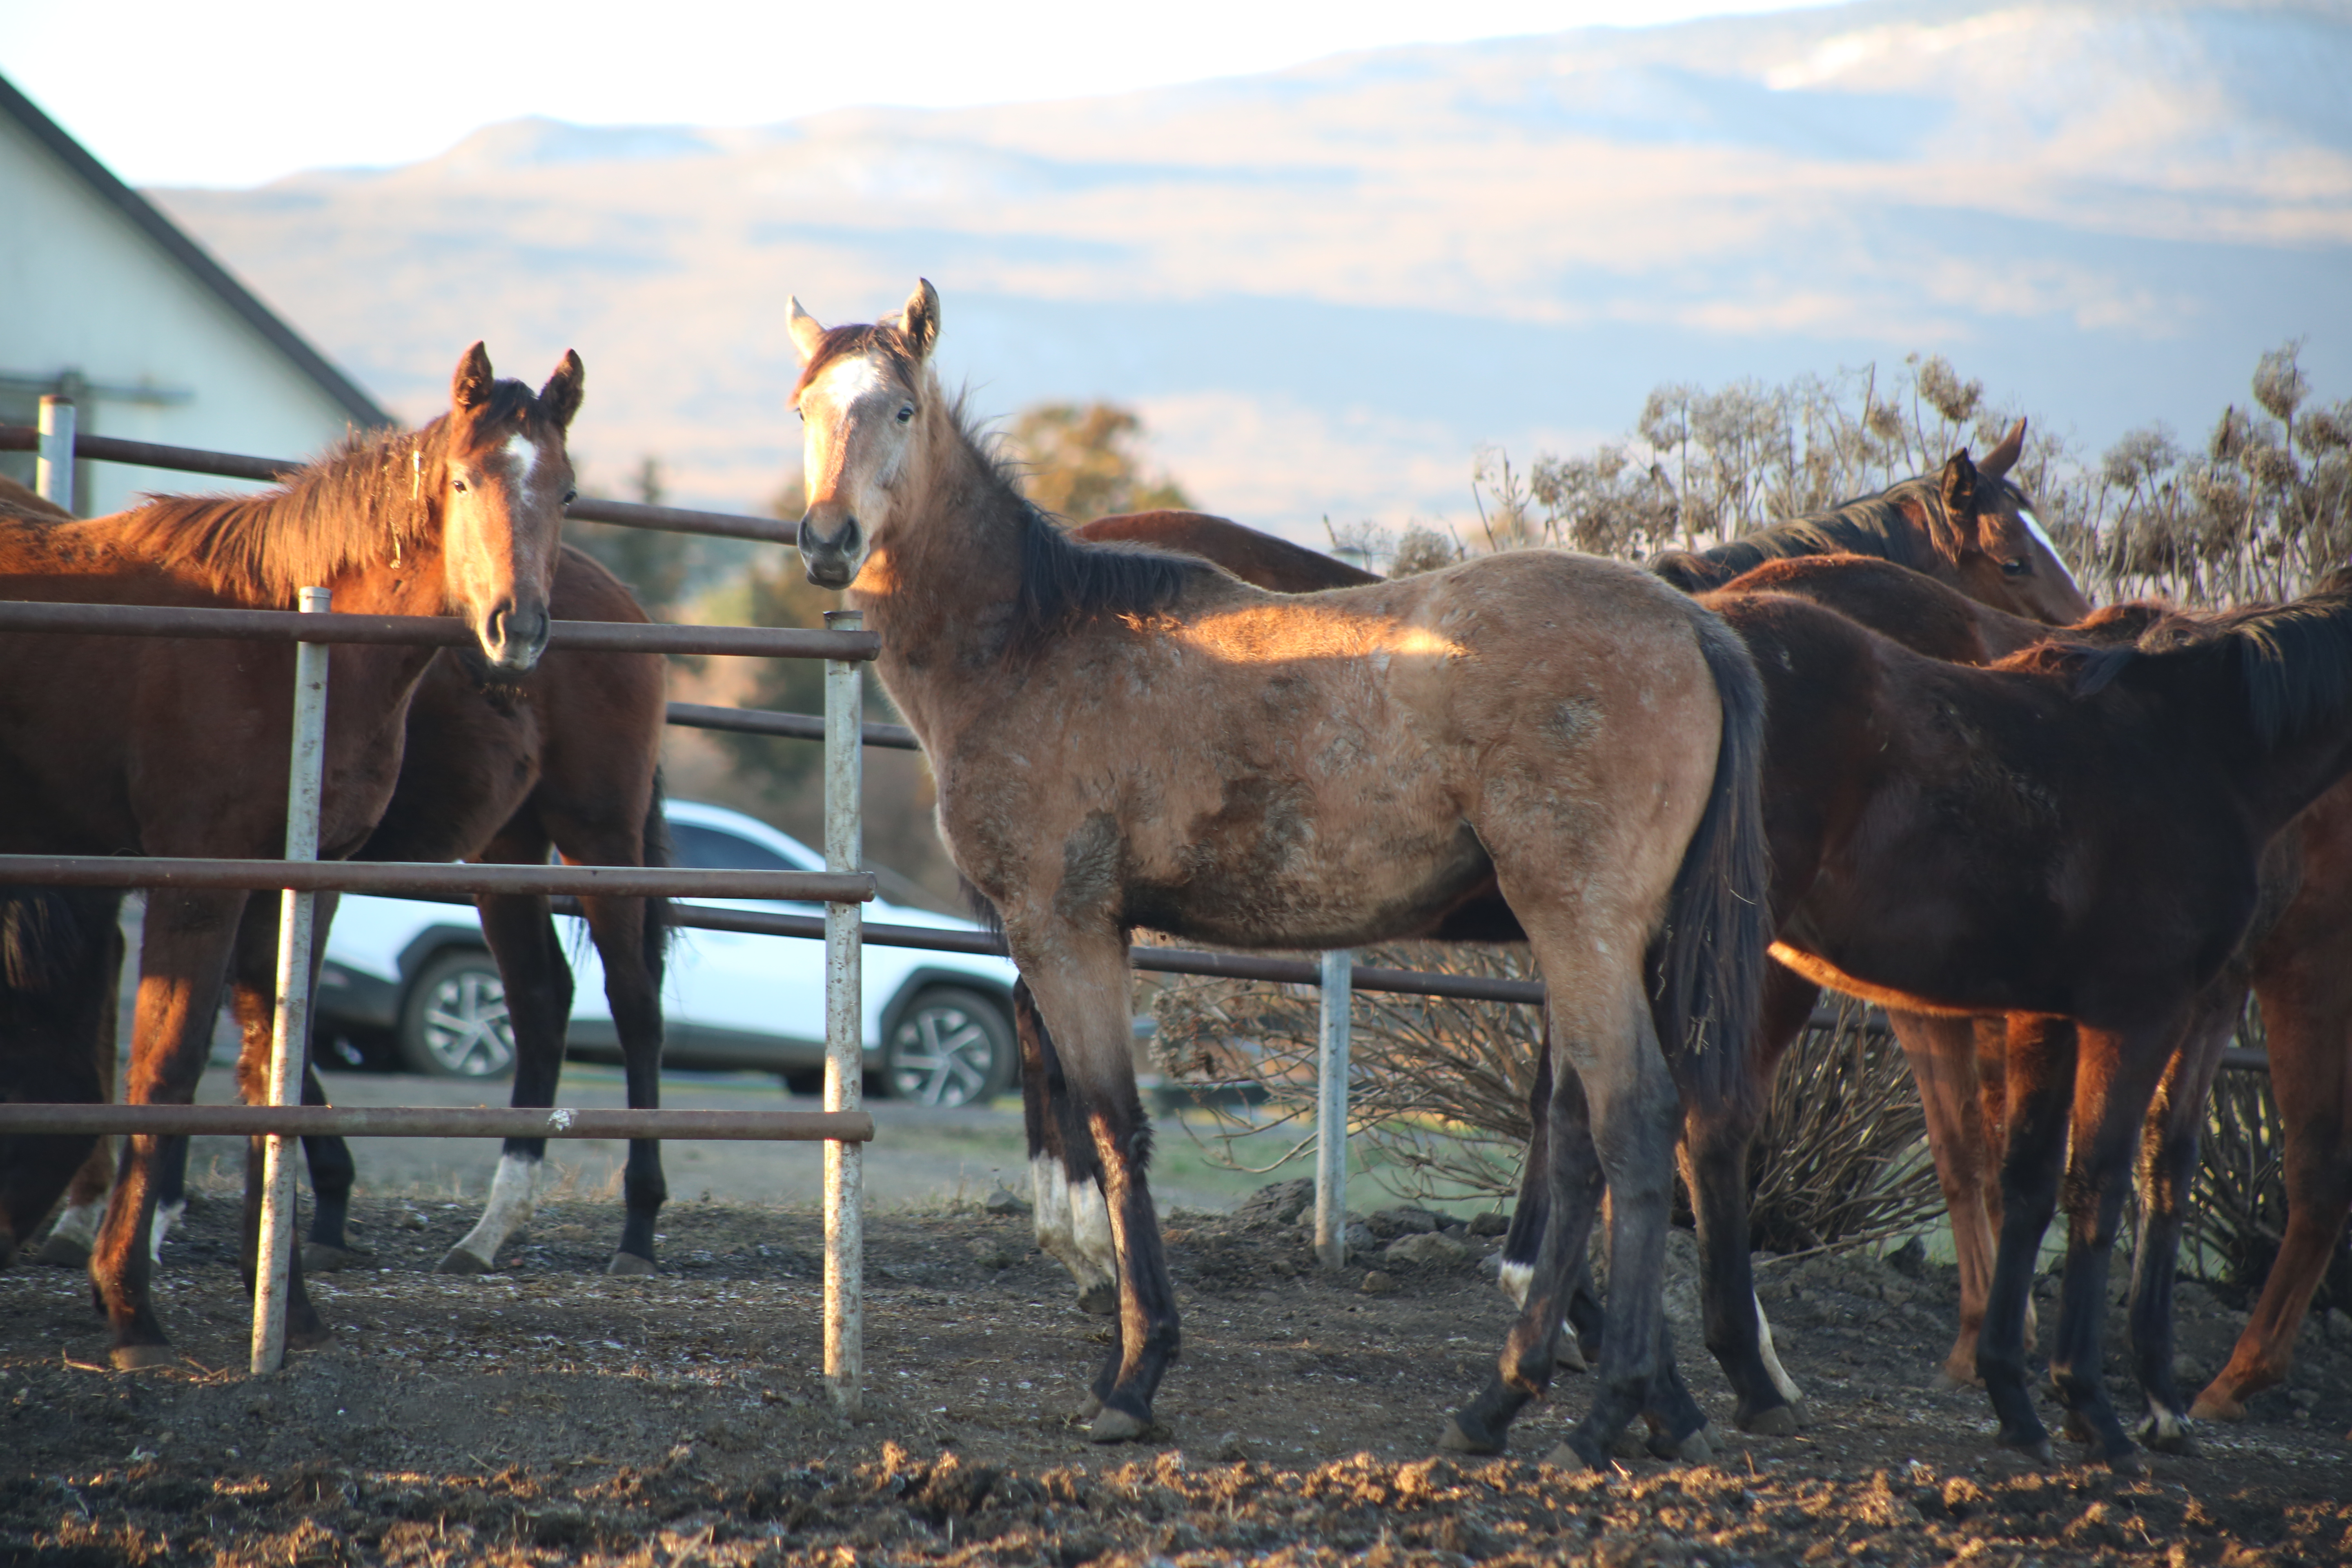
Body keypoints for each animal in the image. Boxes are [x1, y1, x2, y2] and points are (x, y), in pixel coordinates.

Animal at [0, 345, 583, 1373]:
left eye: (567, 491)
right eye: (464, 479)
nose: (517, 631)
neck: (284, 639)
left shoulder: (303, 883)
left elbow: (273, 1065)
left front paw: (284, 1299)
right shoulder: (201, 876)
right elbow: (168, 1064)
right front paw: (129, 1305)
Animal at [785, 276, 1768, 1467]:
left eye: (900, 409)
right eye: (804, 407)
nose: (827, 539)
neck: (1033, 640)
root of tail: (1690, 627)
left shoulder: (1063, 929)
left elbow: (1114, 1127)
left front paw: (1133, 1376)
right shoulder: (1090, 933)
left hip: (1580, 925)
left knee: (1628, 1123)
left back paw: (1593, 1405)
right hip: (1612, 941)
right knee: (1596, 1136)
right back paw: (1550, 1400)